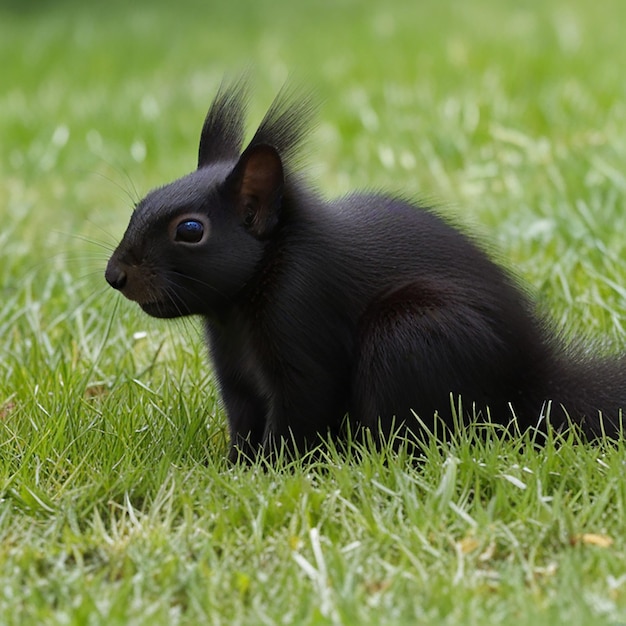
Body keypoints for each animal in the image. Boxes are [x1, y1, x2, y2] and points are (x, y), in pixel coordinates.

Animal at [105, 79, 620, 458]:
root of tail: (531, 386)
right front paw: (231, 468)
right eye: (138, 206)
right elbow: (243, 422)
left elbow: (299, 415)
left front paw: (268, 474)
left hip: (410, 337)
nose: (115, 275)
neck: (236, 309)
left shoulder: (303, 317)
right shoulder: (234, 373)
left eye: (190, 230)